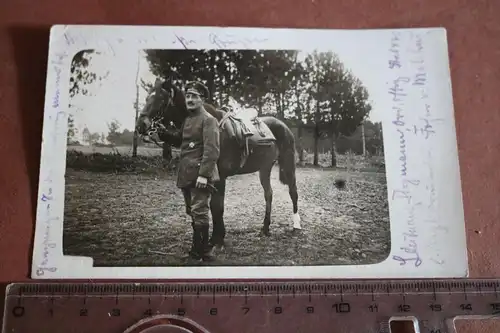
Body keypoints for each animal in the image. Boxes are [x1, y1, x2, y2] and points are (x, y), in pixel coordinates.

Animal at [136, 79, 300, 248]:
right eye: (147, 97)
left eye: (161, 99)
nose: (141, 125)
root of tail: (282, 125)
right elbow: (208, 208)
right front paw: (215, 237)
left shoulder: (220, 176)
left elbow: (217, 207)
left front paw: (216, 239)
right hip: (265, 168)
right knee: (269, 194)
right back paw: (265, 228)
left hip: (288, 166)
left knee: (293, 192)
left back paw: (296, 225)